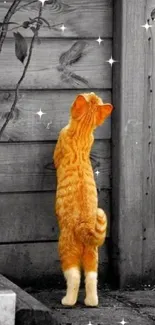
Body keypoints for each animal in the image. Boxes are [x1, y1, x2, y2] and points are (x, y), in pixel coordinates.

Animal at [53, 92, 112, 306]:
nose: (92, 94)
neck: (82, 134)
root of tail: (86, 225)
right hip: (92, 255)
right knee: (92, 278)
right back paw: (91, 302)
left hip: (66, 249)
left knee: (75, 277)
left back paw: (68, 301)